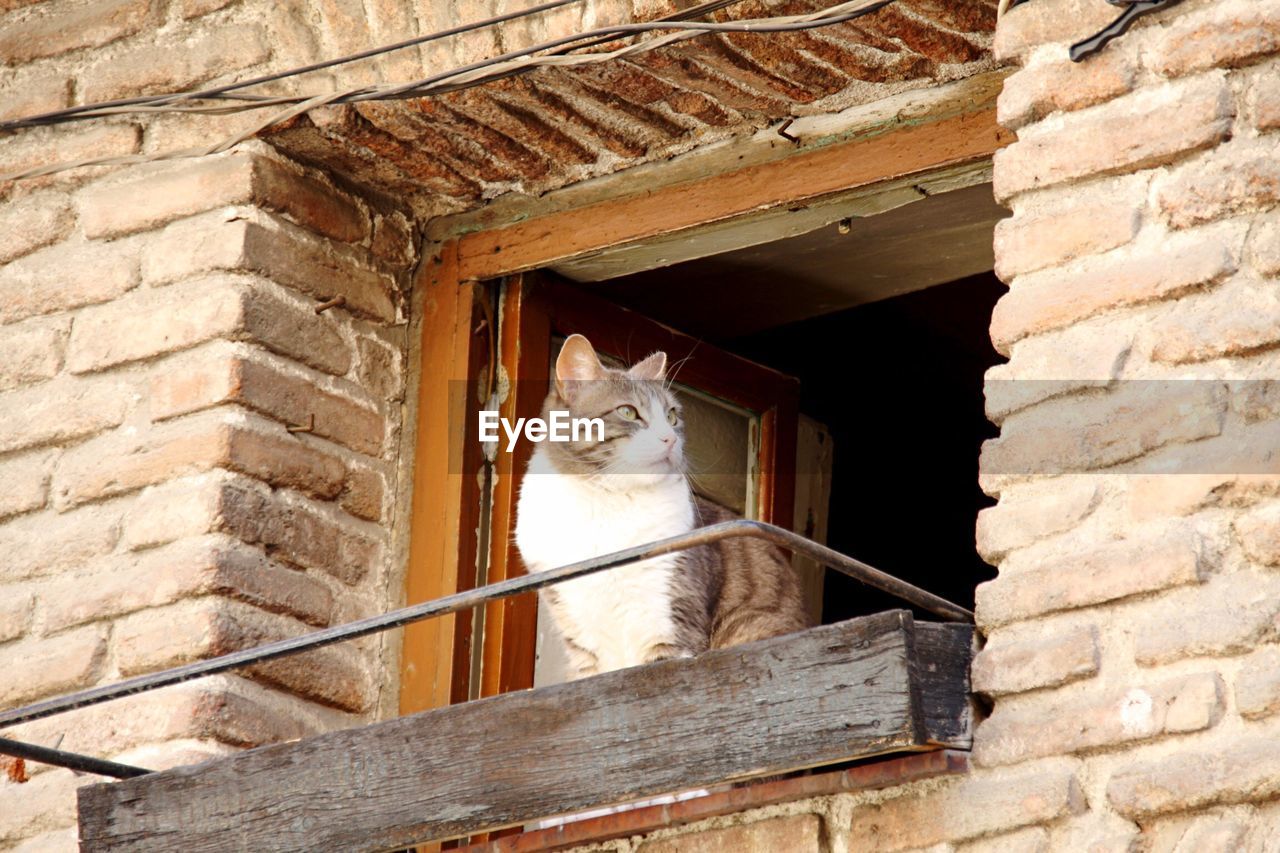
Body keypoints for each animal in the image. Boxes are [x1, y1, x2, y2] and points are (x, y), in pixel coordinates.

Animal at [512, 333, 803, 676]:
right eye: (628, 412)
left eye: (672, 417)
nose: (671, 439)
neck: (605, 502)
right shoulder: (581, 641)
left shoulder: (670, 617)